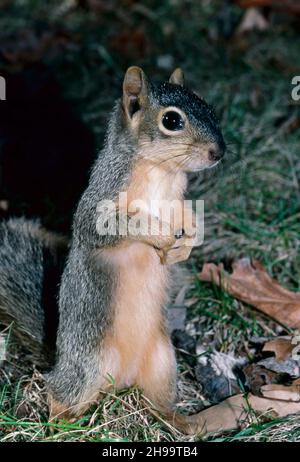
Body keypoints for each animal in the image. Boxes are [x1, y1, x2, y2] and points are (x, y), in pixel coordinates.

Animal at [0, 67, 225, 434]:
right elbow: (107, 225)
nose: (218, 152)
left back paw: (187, 423)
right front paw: (161, 234)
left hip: (163, 363)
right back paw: (67, 428)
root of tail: (121, 381)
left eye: (208, 107)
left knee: (159, 406)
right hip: (88, 365)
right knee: (59, 395)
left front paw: (186, 242)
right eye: (172, 120)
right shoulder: (101, 200)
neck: (160, 172)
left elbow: (187, 216)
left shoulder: (176, 200)